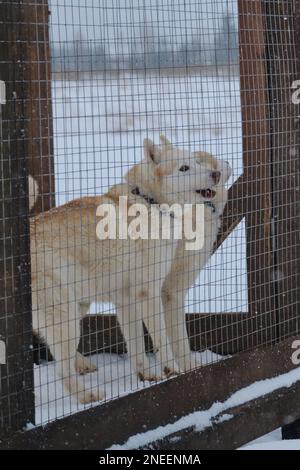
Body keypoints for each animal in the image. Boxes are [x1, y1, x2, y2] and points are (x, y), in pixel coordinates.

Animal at [29, 136, 230, 404]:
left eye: (198, 162)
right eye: (184, 168)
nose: (216, 173)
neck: (151, 203)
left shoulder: (127, 301)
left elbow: (137, 348)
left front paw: (148, 376)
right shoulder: (153, 294)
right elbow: (166, 342)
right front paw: (174, 371)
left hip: (76, 307)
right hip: (66, 315)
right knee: (62, 369)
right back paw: (88, 396)